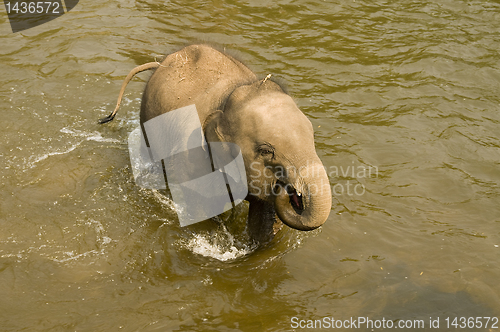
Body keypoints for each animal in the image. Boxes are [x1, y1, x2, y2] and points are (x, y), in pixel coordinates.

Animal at [99, 43, 330, 241]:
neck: (227, 100)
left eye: (312, 137)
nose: (291, 190)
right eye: (265, 151)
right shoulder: (192, 156)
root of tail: (160, 63)